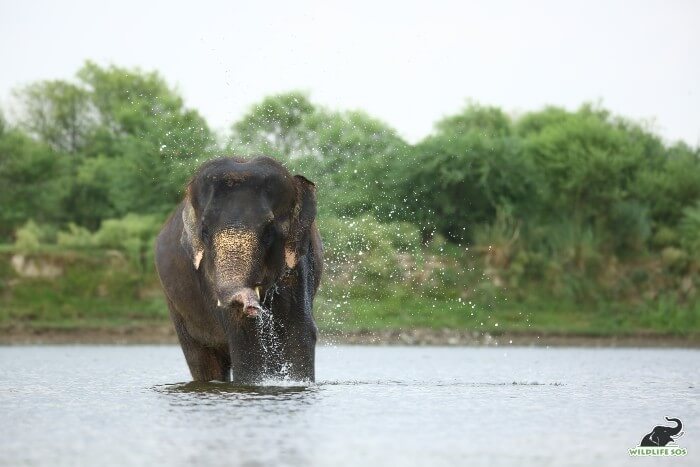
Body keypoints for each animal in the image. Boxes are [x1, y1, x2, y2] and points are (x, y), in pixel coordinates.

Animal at [153, 157, 322, 384]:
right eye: (204, 232)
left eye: (269, 231)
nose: (251, 306)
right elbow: (246, 342)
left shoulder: (299, 262)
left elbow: (299, 333)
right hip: (175, 305)